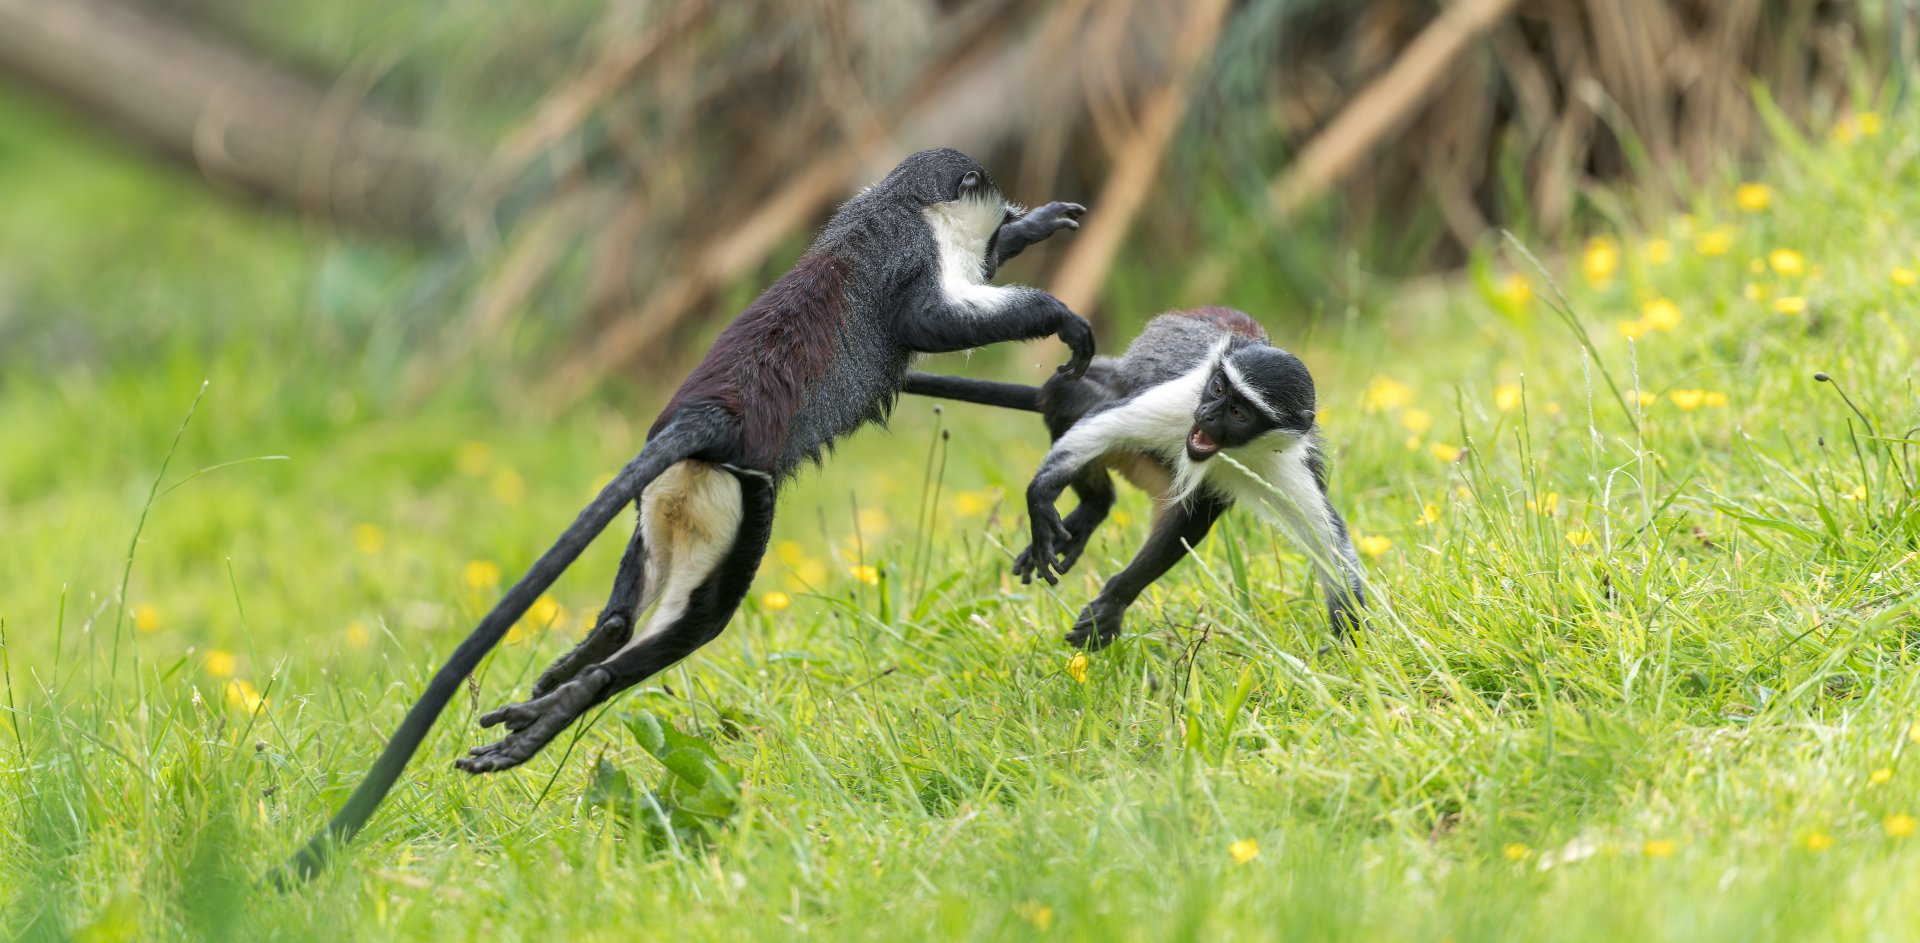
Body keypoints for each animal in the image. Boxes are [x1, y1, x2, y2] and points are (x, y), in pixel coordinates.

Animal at [275, 148, 1092, 883]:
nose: (1009, 212)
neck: (895, 203)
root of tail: (706, 419)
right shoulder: (915, 256)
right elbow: (931, 321)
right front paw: (1054, 307)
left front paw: (1033, 228)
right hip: (741, 499)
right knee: (700, 620)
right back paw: (583, 692)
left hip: (667, 499)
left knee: (625, 613)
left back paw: (577, 667)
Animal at [902, 306, 1364, 650]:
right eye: (1218, 389)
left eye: (1238, 412)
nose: (1207, 415)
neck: (1232, 448)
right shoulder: (1181, 401)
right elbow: (1104, 424)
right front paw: (1040, 496)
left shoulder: (1286, 463)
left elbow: (1329, 546)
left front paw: (1351, 648)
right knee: (1075, 394)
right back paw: (1093, 504)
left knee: (1200, 505)